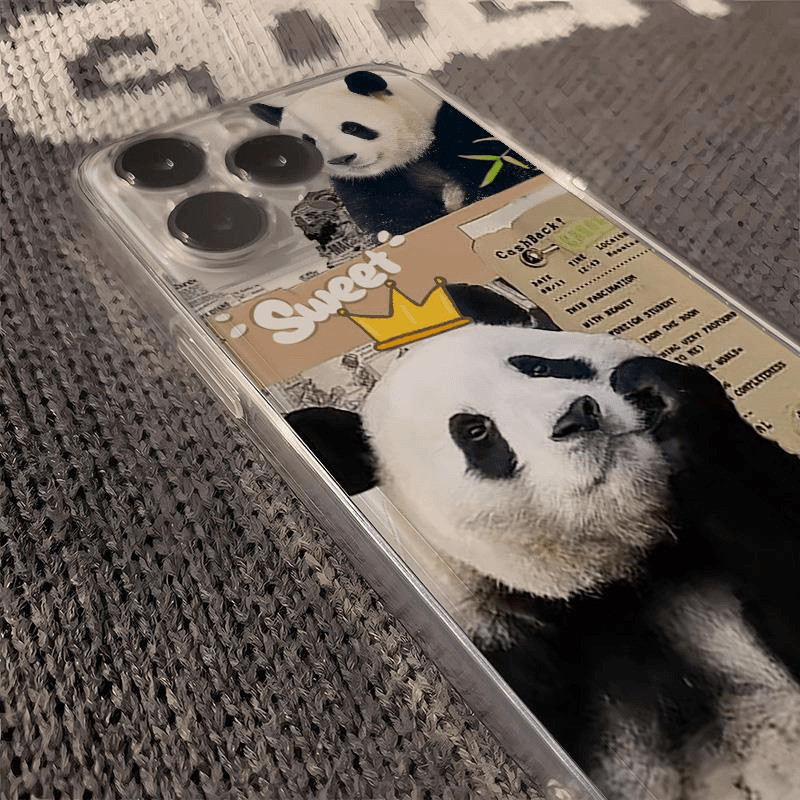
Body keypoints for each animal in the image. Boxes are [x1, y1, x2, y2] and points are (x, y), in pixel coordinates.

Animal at [250, 70, 537, 236]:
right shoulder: (365, 183)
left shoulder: (453, 126)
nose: (342, 159)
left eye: (352, 127)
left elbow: (498, 169)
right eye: (310, 142)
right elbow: (390, 214)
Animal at [287, 285, 800, 800]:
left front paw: (662, 392)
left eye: (537, 367)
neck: (618, 568)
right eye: (476, 431)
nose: (578, 416)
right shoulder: (516, 641)